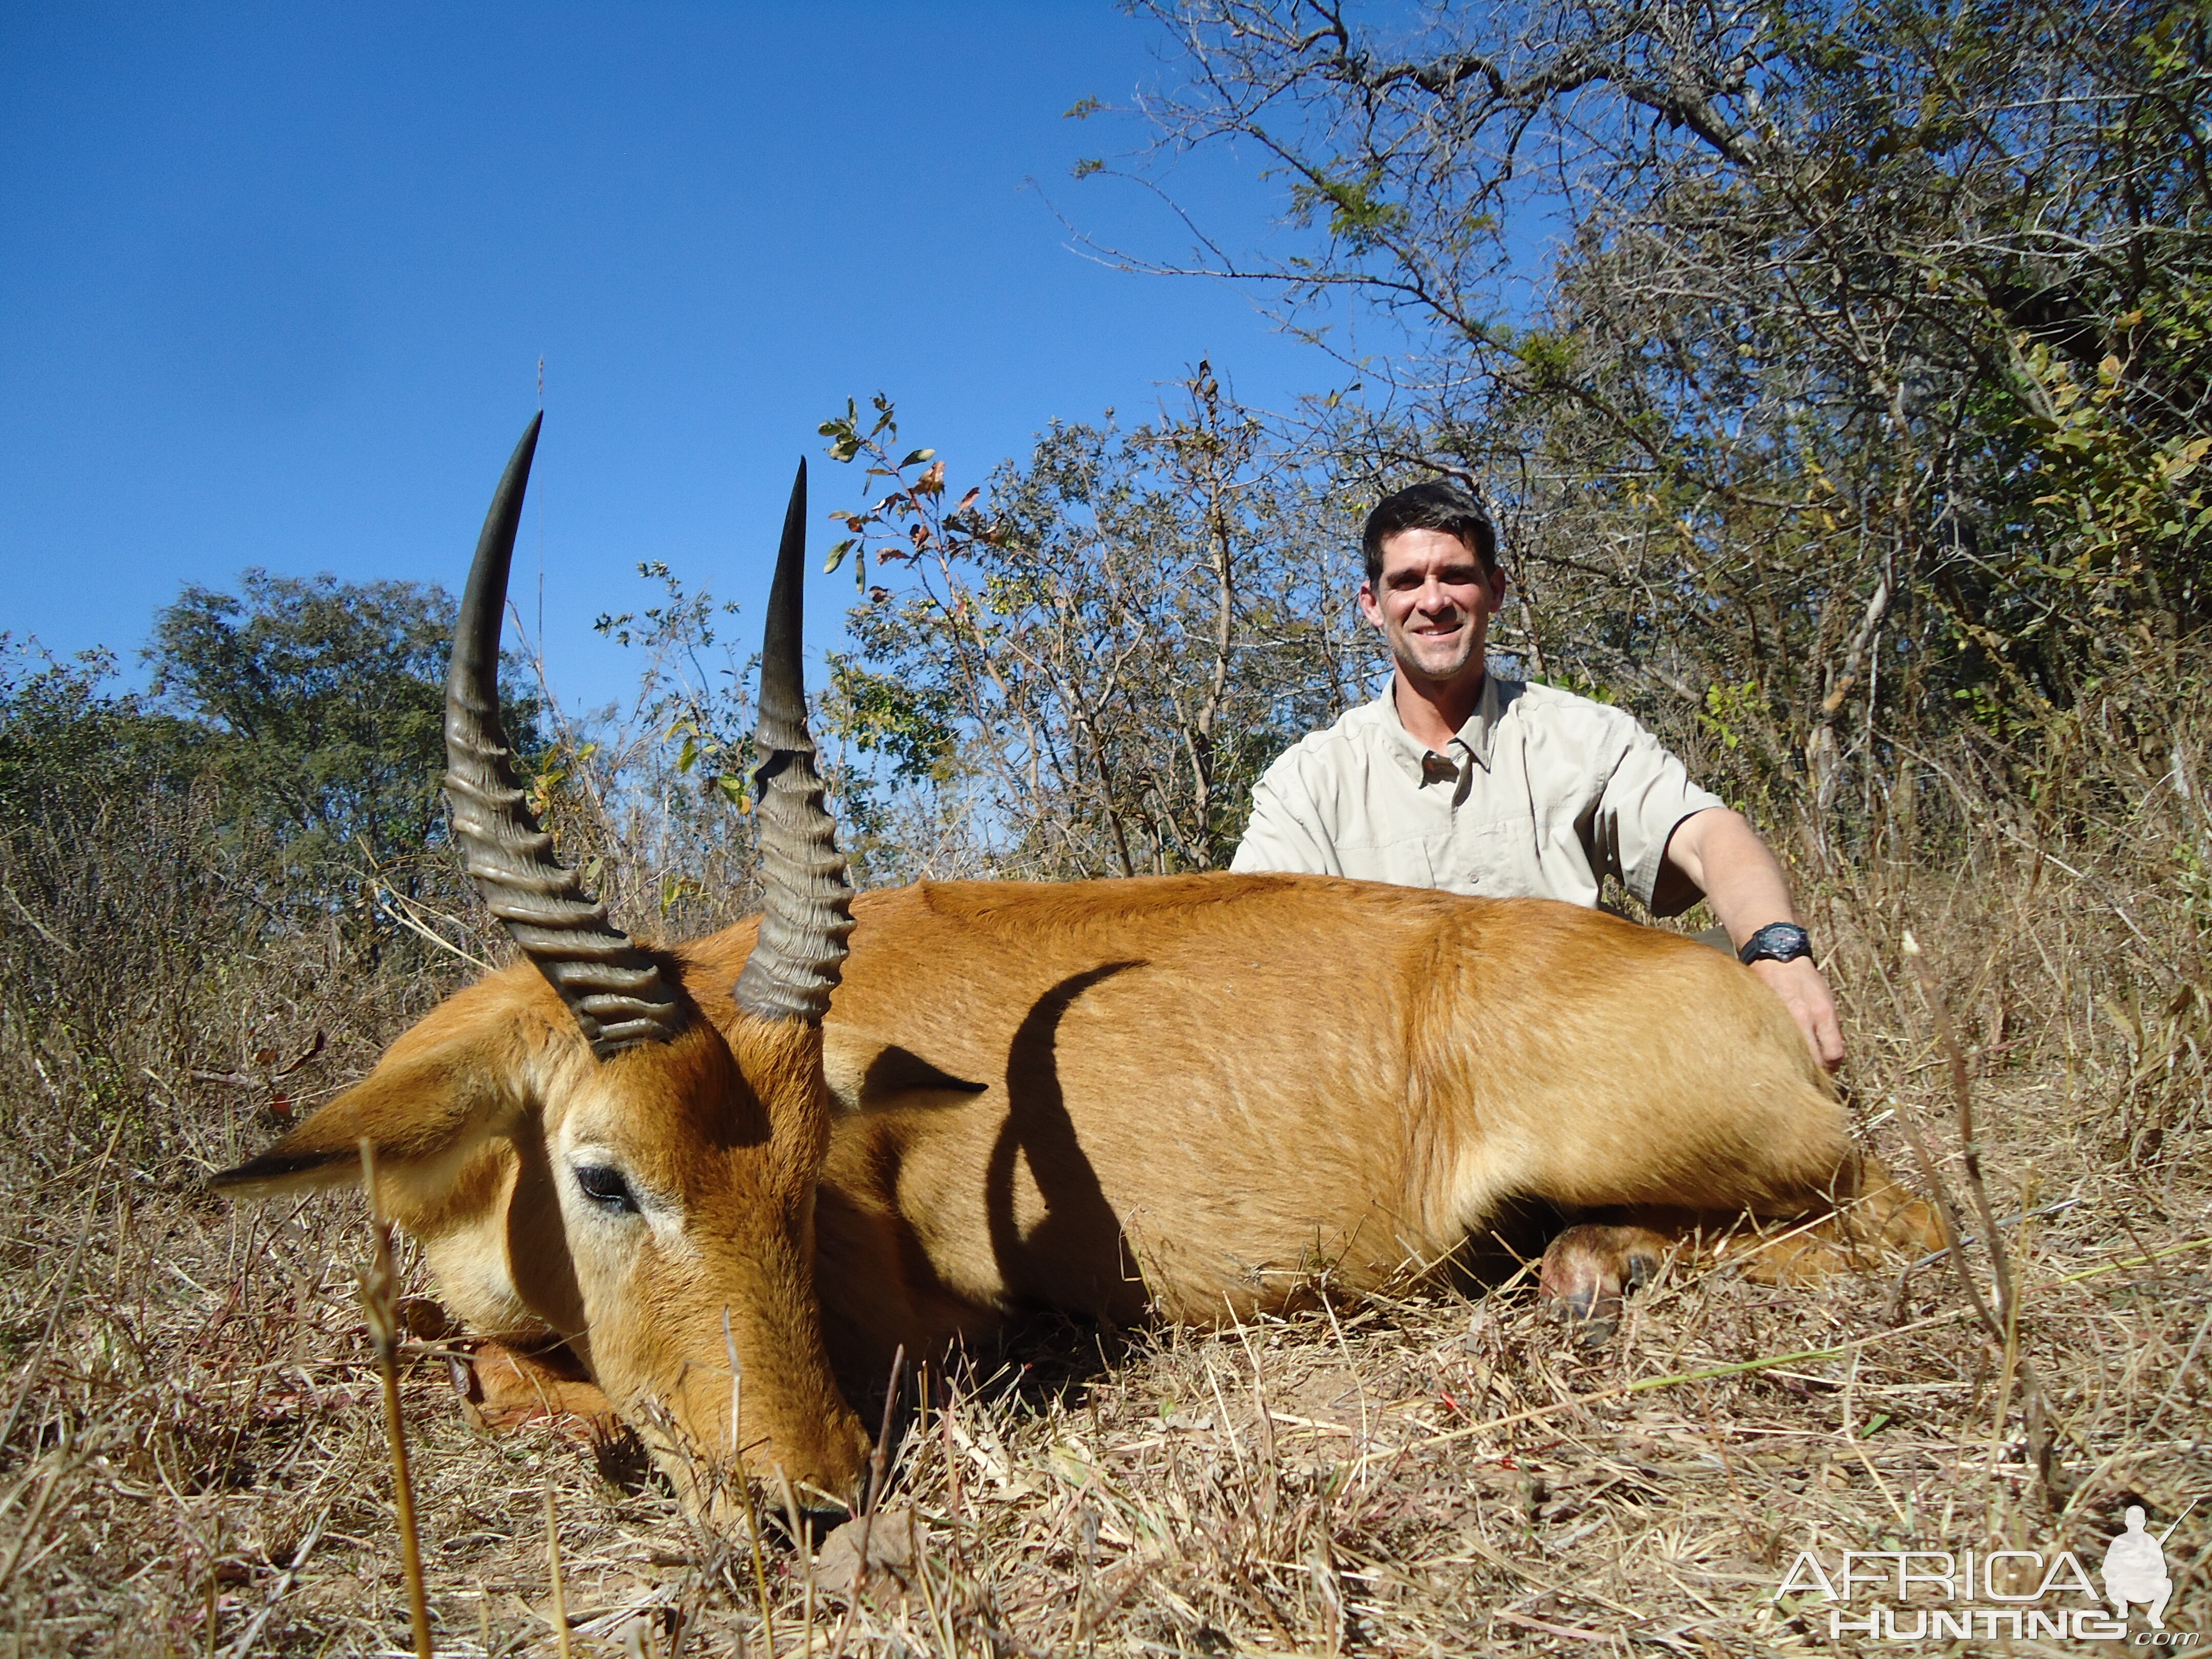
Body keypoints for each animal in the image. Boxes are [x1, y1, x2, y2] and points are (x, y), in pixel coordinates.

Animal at [216, 418, 1929, 1522]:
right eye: (603, 1173)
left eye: (804, 1176)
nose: (813, 1497)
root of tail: (1747, 1000)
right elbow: (471, 1357)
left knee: (1895, 1217)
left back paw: (1601, 1267)